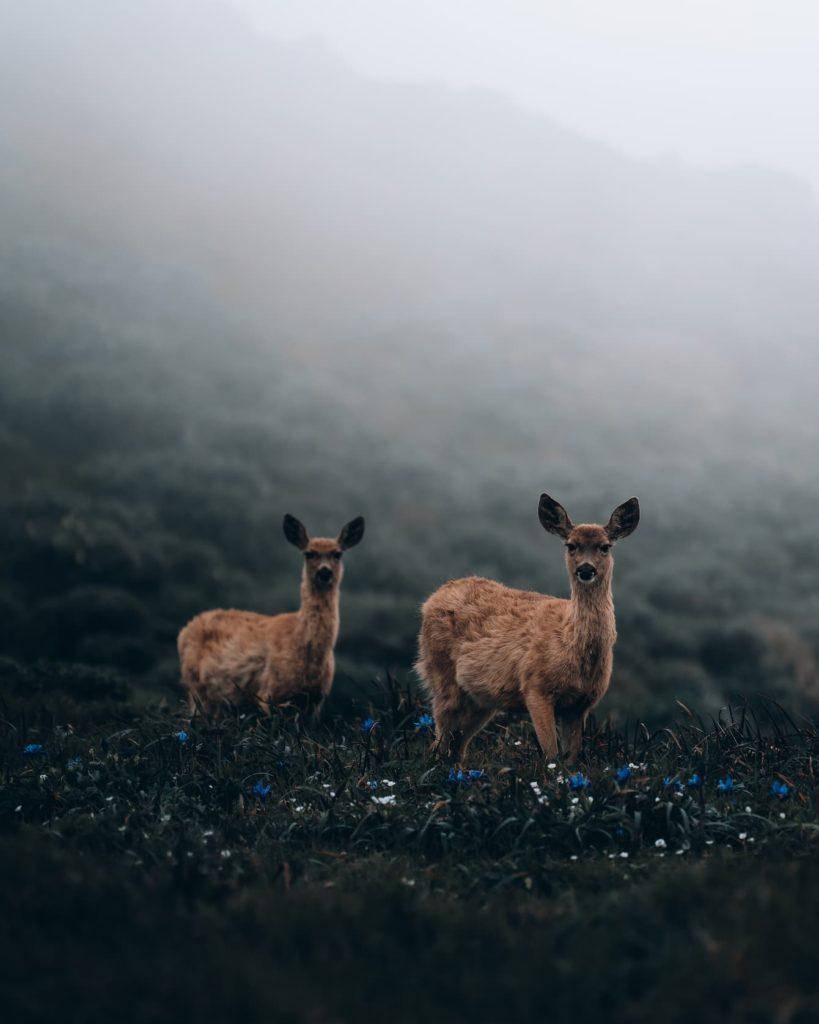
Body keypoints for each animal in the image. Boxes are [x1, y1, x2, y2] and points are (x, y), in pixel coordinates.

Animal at [178, 516, 364, 716]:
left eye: (337, 554)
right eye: (308, 553)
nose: (324, 571)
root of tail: (184, 630)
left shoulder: (314, 702)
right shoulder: (270, 693)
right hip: (197, 689)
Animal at [415, 491, 638, 765]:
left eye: (605, 546)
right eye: (571, 545)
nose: (586, 569)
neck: (570, 645)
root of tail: (432, 598)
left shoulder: (580, 704)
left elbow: (571, 760)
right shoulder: (536, 687)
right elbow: (551, 756)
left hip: (482, 699)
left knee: (458, 743)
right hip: (440, 670)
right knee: (440, 736)